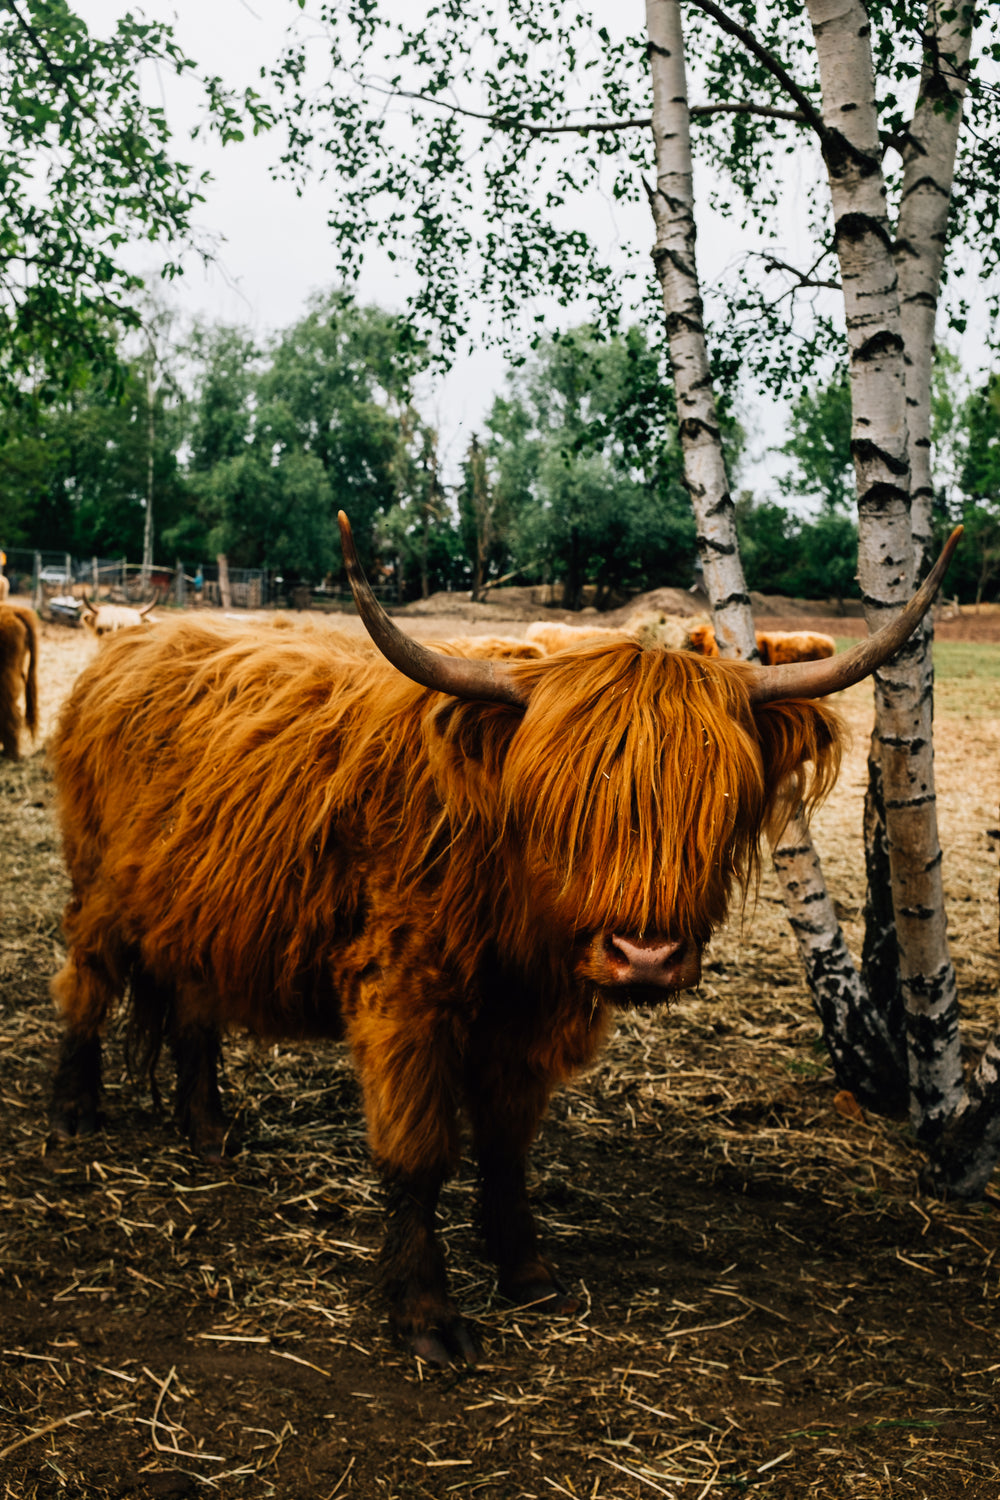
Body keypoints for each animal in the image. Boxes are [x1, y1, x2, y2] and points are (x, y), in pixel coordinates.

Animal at [48, 519, 959, 1374]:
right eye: (562, 800)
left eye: (720, 798)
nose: (645, 956)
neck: (519, 920)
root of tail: (132, 644)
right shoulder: (402, 994)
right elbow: (417, 1154)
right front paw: (425, 1314)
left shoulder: (530, 1021)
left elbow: (506, 1148)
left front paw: (526, 1272)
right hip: (99, 886)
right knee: (85, 983)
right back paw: (74, 1110)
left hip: (199, 908)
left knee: (193, 1011)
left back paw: (207, 1130)